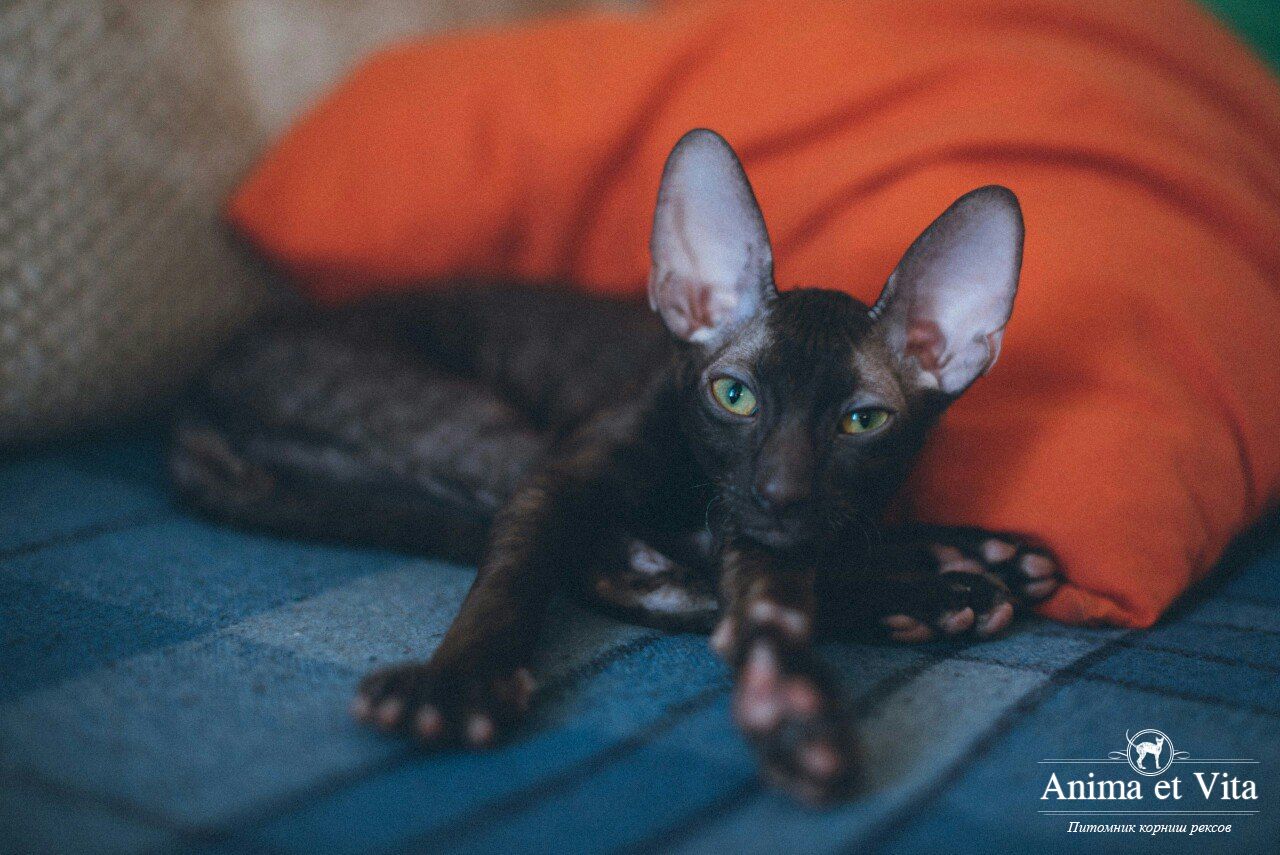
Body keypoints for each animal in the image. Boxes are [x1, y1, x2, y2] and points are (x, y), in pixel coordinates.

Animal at [171, 129, 1061, 803]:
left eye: (862, 420)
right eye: (734, 395)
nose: (779, 490)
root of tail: (198, 391)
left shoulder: (763, 522)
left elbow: (772, 582)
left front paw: (789, 692)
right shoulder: (579, 472)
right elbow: (516, 569)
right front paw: (460, 681)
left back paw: (969, 562)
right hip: (452, 413)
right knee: (619, 569)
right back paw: (942, 587)